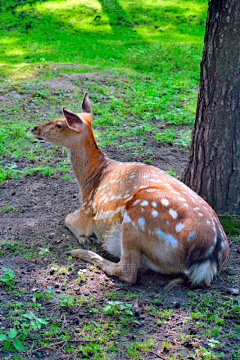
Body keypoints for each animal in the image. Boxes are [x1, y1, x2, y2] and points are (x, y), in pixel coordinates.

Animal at [31, 92, 230, 286]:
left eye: (58, 124)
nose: (34, 128)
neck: (90, 179)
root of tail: (210, 255)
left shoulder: (86, 211)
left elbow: (66, 219)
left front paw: (85, 239)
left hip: (137, 217)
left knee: (127, 272)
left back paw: (80, 251)